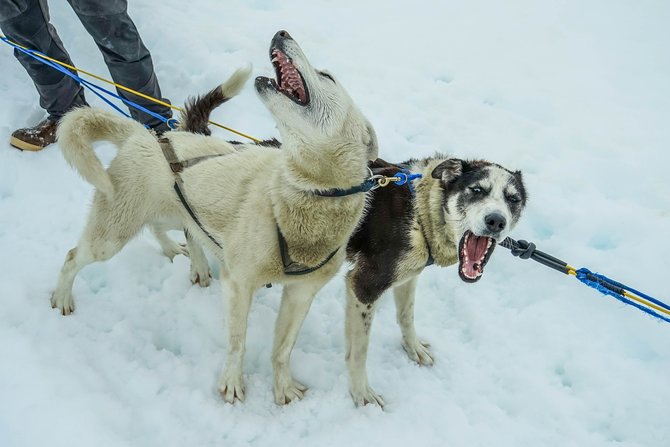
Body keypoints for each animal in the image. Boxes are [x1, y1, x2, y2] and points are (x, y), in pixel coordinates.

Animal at [52, 29, 378, 404]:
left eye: (326, 76)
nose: (281, 32)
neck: (303, 195)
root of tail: (147, 135)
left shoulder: (301, 293)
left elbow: (283, 348)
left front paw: (282, 386)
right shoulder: (238, 283)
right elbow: (238, 341)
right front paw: (233, 382)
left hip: (172, 212)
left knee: (168, 229)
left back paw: (181, 254)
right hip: (111, 236)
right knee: (72, 256)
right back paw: (62, 297)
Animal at [346, 156, 532, 408]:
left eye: (513, 199)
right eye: (477, 190)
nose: (496, 220)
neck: (420, 214)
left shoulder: (408, 276)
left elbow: (406, 316)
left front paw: (413, 348)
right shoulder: (364, 285)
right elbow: (359, 350)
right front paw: (361, 393)